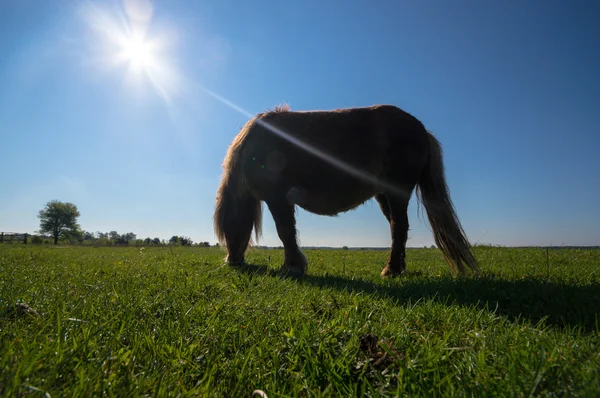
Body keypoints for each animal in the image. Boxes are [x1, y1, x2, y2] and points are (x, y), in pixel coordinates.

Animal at [212, 105, 478, 276]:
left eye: (229, 224)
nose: (232, 261)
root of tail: (421, 130)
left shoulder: (278, 198)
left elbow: (285, 231)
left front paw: (294, 266)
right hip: (384, 195)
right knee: (397, 227)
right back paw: (398, 268)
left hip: (396, 193)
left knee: (399, 227)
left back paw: (391, 270)